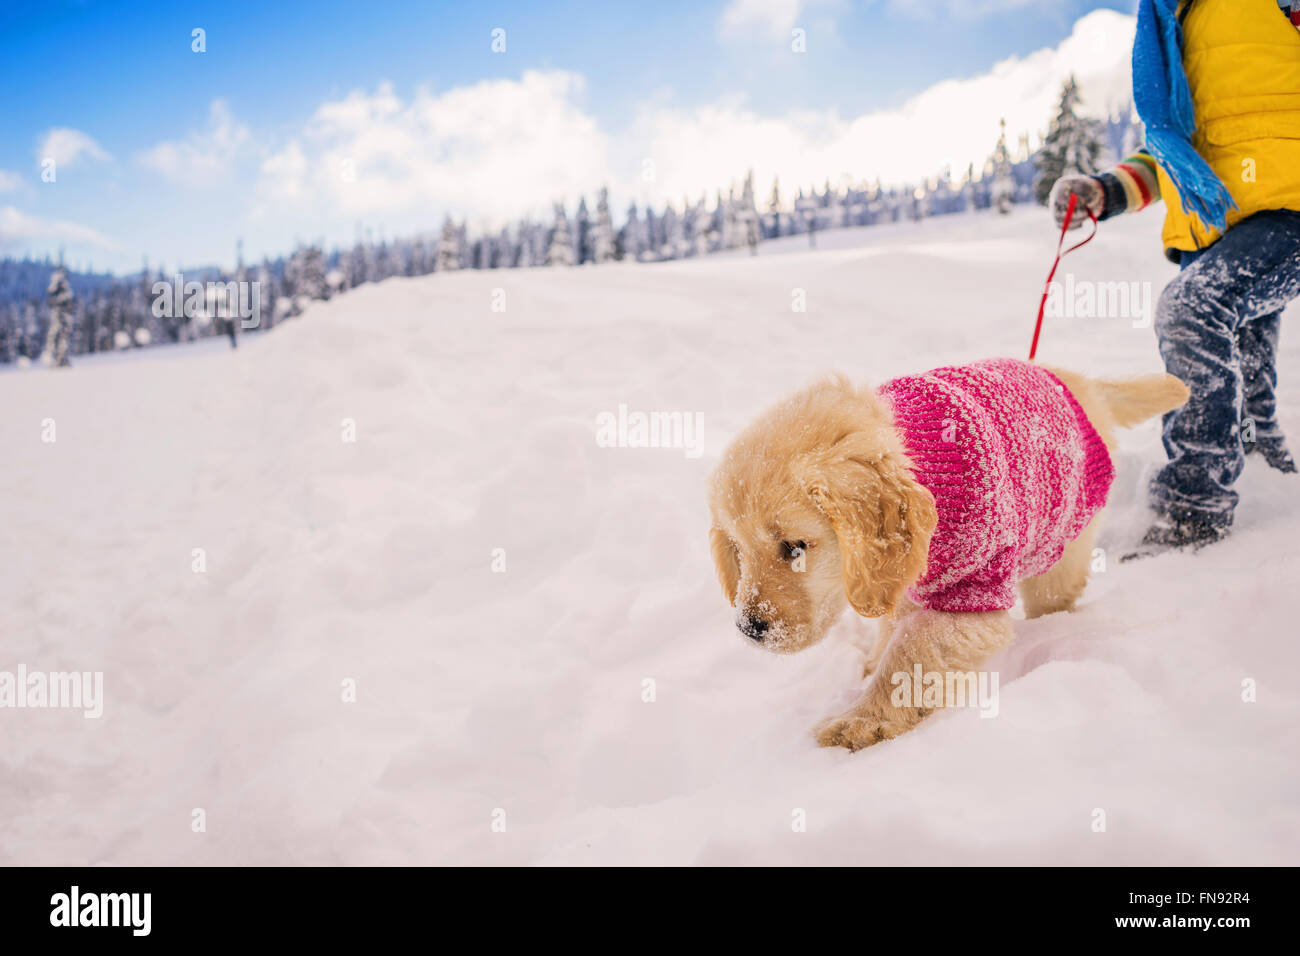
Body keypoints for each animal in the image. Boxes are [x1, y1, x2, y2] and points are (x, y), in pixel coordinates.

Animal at [712, 356, 1190, 749]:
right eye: (739, 548)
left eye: (795, 546)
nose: (750, 629)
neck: (925, 463)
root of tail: (1075, 381)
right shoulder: (905, 578)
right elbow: (895, 624)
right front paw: (871, 666)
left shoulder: (971, 593)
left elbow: (911, 654)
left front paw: (863, 721)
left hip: (1059, 540)